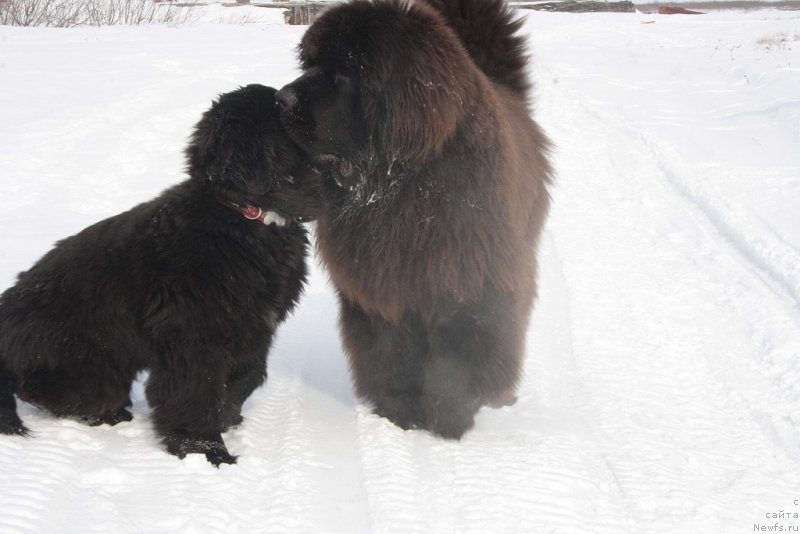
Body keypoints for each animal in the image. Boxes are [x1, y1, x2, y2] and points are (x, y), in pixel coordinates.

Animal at [0, 82, 318, 464]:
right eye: (277, 108)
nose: (292, 97)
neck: (243, 218)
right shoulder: (193, 334)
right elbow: (195, 391)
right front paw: (205, 450)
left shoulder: (254, 328)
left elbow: (247, 376)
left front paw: (227, 418)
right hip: (88, 363)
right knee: (50, 391)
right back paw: (106, 414)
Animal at [278, 0, 552, 442]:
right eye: (310, 64)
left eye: (343, 73)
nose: (281, 99)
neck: (405, 187)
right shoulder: (381, 293)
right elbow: (391, 355)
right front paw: (400, 413)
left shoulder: (466, 285)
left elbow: (456, 363)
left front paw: (449, 420)